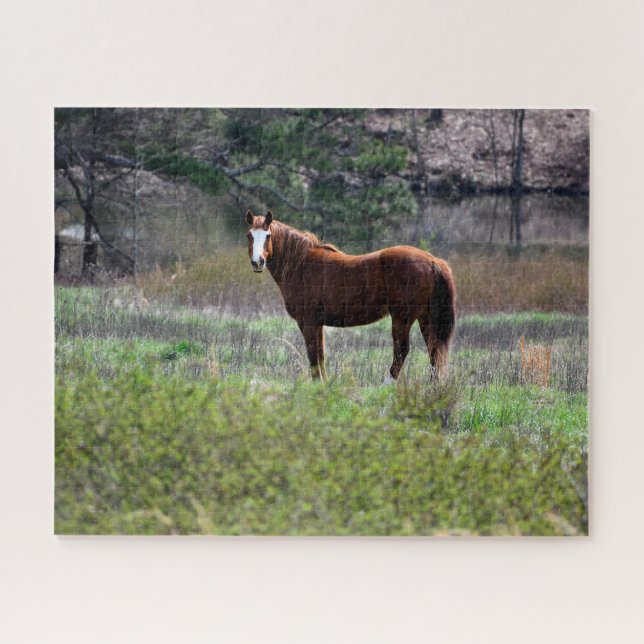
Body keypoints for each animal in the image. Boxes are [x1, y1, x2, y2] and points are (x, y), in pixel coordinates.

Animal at [245, 209, 456, 382]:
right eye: (249, 235)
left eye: (268, 235)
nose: (257, 262)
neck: (301, 264)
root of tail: (432, 261)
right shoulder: (317, 324)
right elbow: (320, 356)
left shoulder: (308, 322)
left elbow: (313, 357)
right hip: (425, 318)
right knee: (434, 351)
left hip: (402, 318)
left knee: (402, 351)